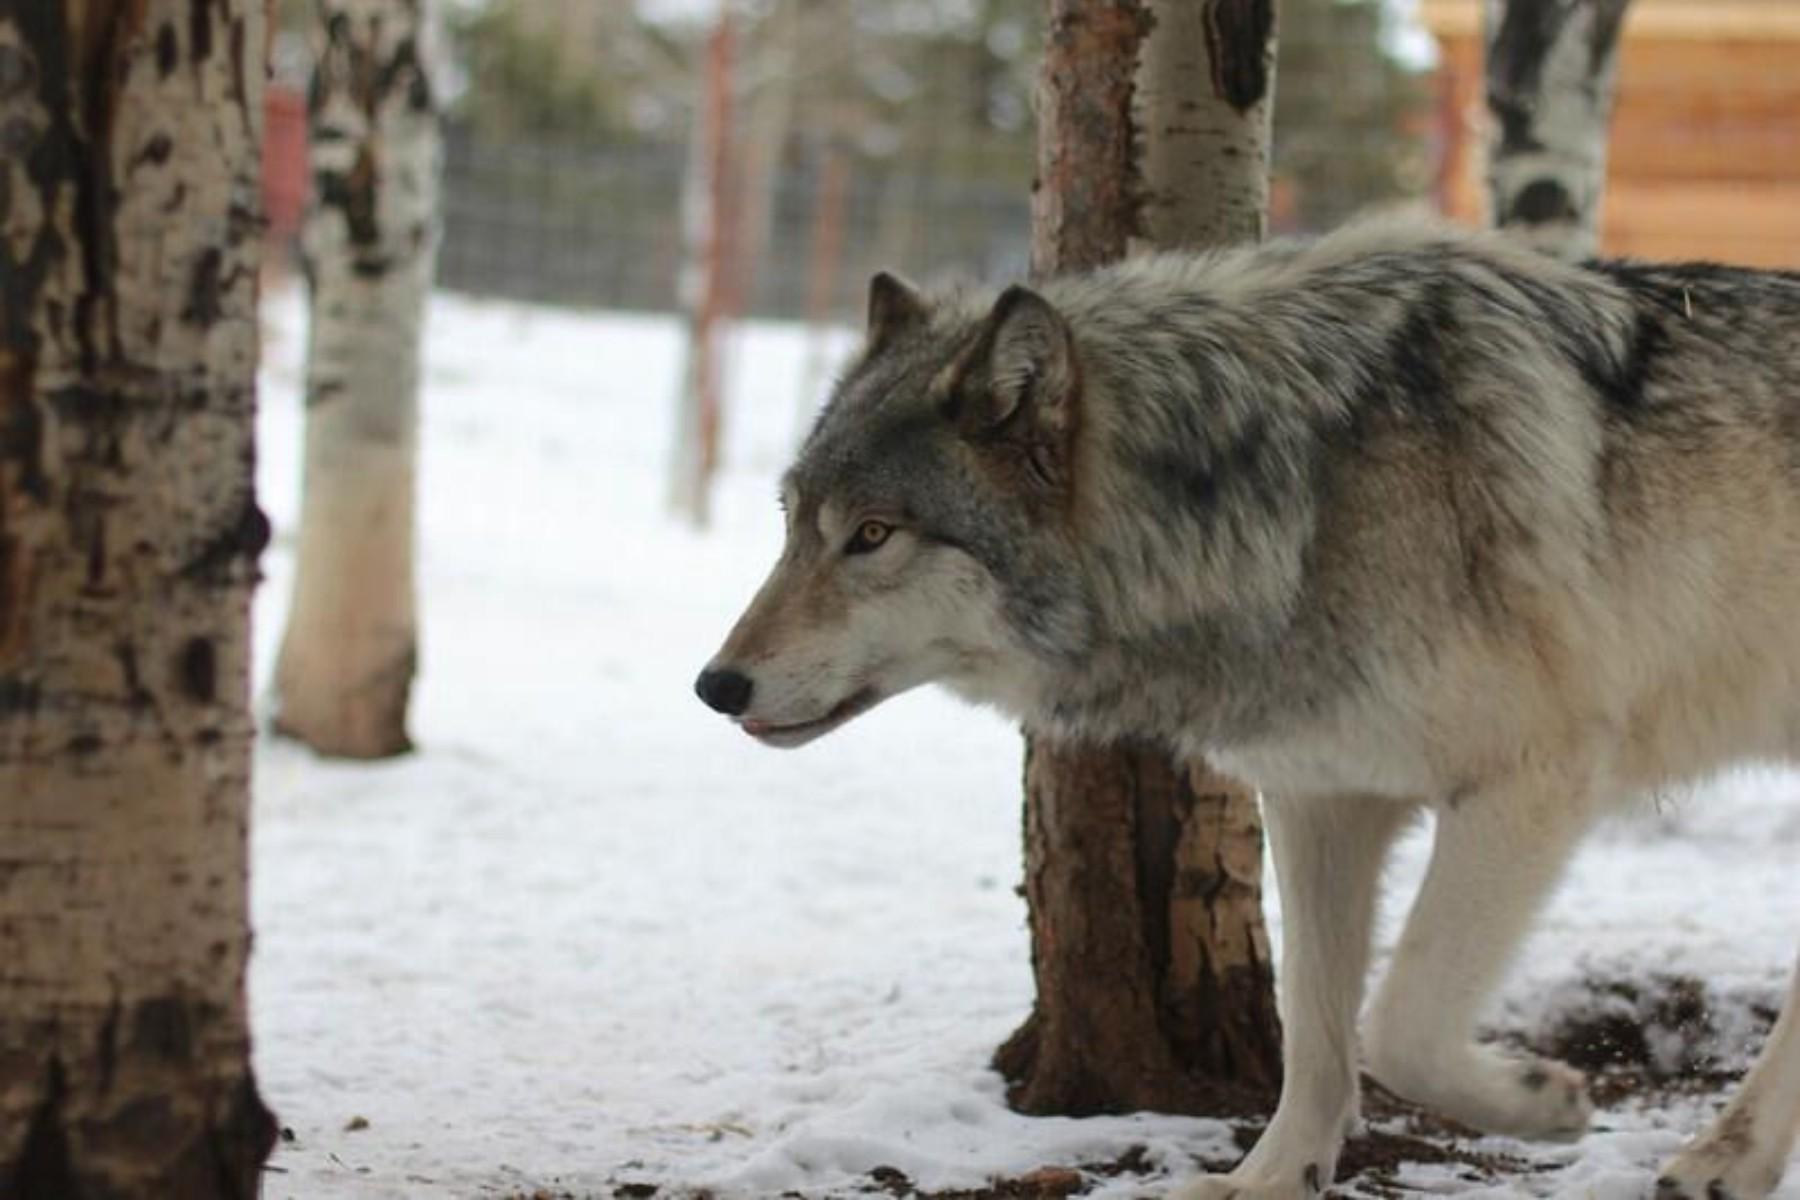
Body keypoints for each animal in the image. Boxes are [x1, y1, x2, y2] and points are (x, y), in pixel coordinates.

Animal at [695, 219, 1800, 1200]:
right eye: (793, 522)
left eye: (874, 535)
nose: (715, 685)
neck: (1296, 493)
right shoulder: (1321, 798)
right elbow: (1315, 1025)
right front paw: (1271, 1179)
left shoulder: (1530, 784)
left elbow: (1400, 1024)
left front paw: (1544, 1101)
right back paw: (1733, 1159)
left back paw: (1719, 1156)